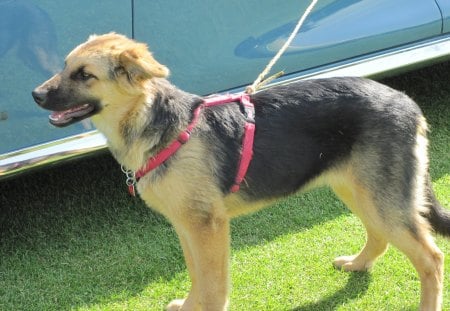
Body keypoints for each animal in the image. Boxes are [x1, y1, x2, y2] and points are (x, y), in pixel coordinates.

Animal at [32, 33, 450, 310]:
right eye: (65, 67)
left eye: (84, 75)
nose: (35, 95)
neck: (159, 122)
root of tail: (408, 103)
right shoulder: (187, 226)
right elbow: (197, 277)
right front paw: (189, 307)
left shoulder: (208, 227)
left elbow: (214, 285)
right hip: (358, 188)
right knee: (379, 236)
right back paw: (358, 264)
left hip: (381, 196)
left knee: (431, 259)